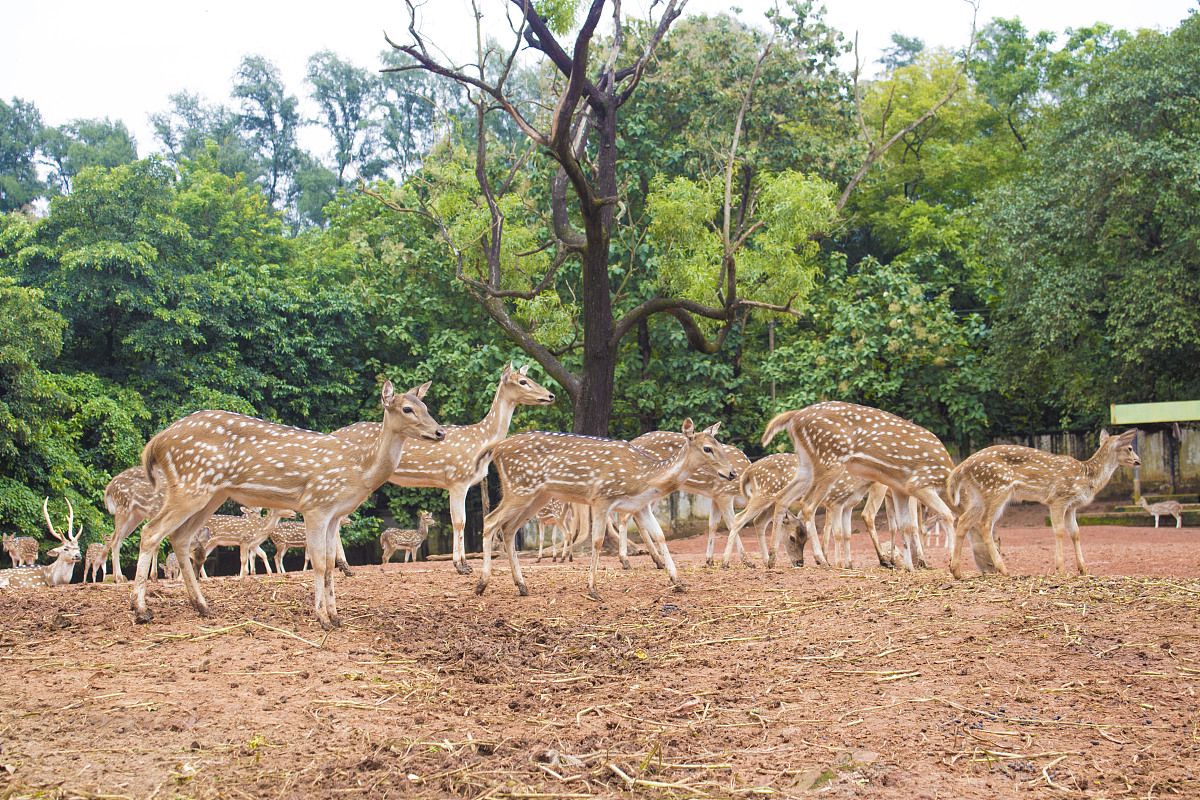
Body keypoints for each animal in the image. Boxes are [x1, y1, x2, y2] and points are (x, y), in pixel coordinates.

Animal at [131, 380, 444, 630]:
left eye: (426, 405)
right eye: (407, 409)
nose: (440, 432)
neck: (360, 471)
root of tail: (156, 443)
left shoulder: (334, 514)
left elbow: (330, 562)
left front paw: (336, 616)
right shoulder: (316, 504)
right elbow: (319, 561)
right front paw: (322, 618)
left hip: (211, 494)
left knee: (180, 538)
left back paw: (202, 606)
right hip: (191, 486)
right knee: (151, 532)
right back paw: (141, 610)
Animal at [334, 364, 554, 575]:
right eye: (523, 381)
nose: (551, 395)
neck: (481, 442)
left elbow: (459, 520)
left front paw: (463, 564)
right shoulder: (458, 479)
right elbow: (460, 521)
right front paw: (461, 565)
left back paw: (344, 567)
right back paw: (345, 566)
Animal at [478, 420, 736, 600]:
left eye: (720, 446)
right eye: (707, 448)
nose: (732, 473)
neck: (644, 479)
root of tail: (497, 451)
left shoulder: (640, 506)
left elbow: (660, 535)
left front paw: (678, 581)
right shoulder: (601, 498)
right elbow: (597, 541)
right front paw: (593, 589)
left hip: (537, 495)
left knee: (508, 528)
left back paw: (522, 586)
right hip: (520, 487)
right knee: (490, 521)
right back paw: (482, 584)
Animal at [946, 430, 1140, 578]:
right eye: (1130, 448)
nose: (1138, 461)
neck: (1087, 477)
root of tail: (962, 467)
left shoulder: (1072, 506)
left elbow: (1076, 533)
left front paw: (1083, 569)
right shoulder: (1057, 498)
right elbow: (1059, 531)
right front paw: (1060, 569)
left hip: (978, 496)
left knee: (963, 521)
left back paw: (956, 571)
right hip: (997, 489)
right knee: (985, 524)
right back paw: (1004, 569)